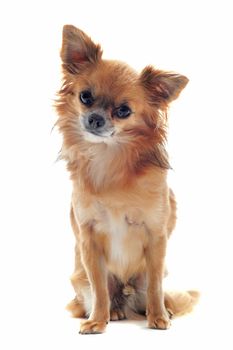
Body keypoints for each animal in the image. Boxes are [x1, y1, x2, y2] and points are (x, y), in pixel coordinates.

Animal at [55, 24, 198, 334]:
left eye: (123, 111)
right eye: (85, 97)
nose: (95, 118)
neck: (109, 158)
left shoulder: (155, 236)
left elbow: (155, 286)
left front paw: (158, 318)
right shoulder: (89, 239)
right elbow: (99, 289)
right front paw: (98, 320)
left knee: (152, 291)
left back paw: (158, 310)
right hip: (81, 280)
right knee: (106, 294)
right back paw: (114, 312)